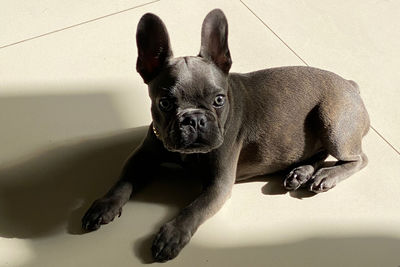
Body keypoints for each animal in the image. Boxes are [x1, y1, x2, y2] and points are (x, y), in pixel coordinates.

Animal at [80, 8, 368, 264]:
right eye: (164, 103)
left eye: (219, 100)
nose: (195, 119)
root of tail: (351, 85)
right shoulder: (142, 157)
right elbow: (123, 182)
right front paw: (105, 205)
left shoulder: (219, 184)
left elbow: (194, 208)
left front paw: (172, 235)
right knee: (319, 153)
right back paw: (302, 172)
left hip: (332, 122)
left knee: (358, 159)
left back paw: (326, 176)